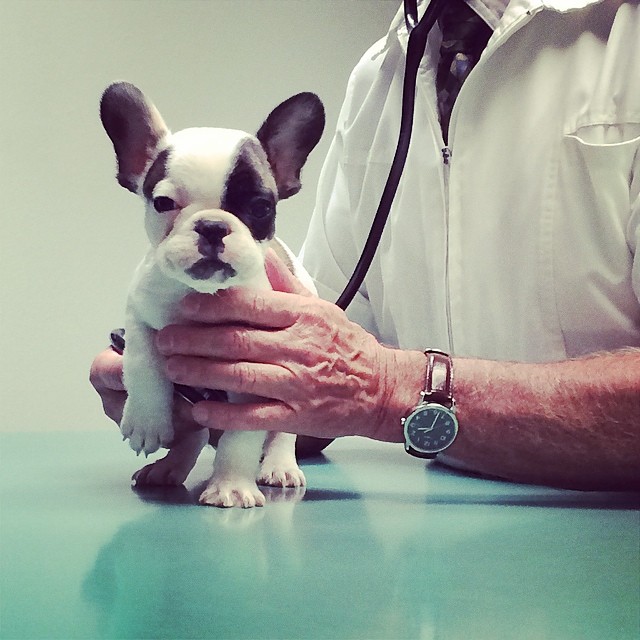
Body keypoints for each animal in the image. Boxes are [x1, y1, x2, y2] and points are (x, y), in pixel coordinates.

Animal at [101, 82, 324, 508]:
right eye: (163, 203)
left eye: (261, 206)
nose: (212, 226)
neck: (203, 293)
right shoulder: (139, 309)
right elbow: (143, 360)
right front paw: (146, 420)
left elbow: (241, 437)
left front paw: (231, 487)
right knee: (195, 430)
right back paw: (169, 467)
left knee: (281, 432)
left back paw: (280, 466)